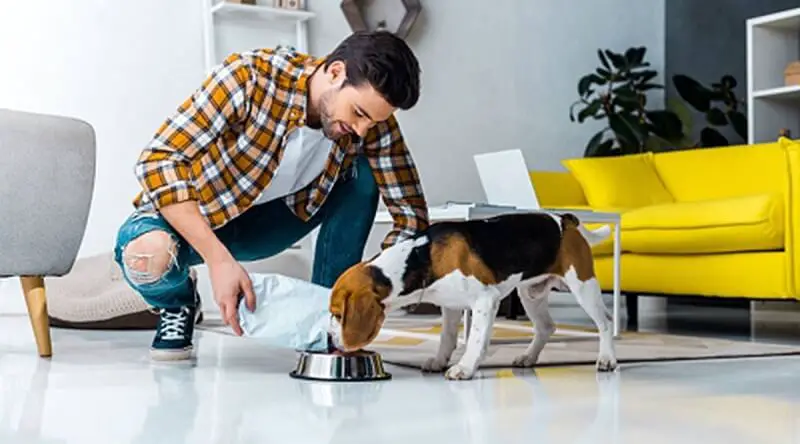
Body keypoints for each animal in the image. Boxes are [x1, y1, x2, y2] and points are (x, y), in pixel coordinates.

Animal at [328, 212, 616, 382]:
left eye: (338, 315)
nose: (331, 340)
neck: (422, 257)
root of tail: (565, 220)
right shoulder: (450, 305)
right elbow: (446, 338)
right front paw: (439, 361)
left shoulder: (485, 300)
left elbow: (476, 340)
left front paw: (465, 368)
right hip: (530, 294)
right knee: (546, 327)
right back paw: (528, 357)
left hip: (582, 286)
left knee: (605, 322)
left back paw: (607, 359)